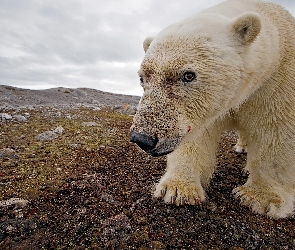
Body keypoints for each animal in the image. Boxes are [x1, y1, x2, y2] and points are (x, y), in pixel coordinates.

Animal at [131, 0, 295, 219]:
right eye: (143, 78)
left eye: (188, 75)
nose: (142, 138)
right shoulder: (205, 111)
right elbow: (198, 137)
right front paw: (178, 189)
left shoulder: (276, 84)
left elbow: (276, 133)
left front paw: (259, 199)